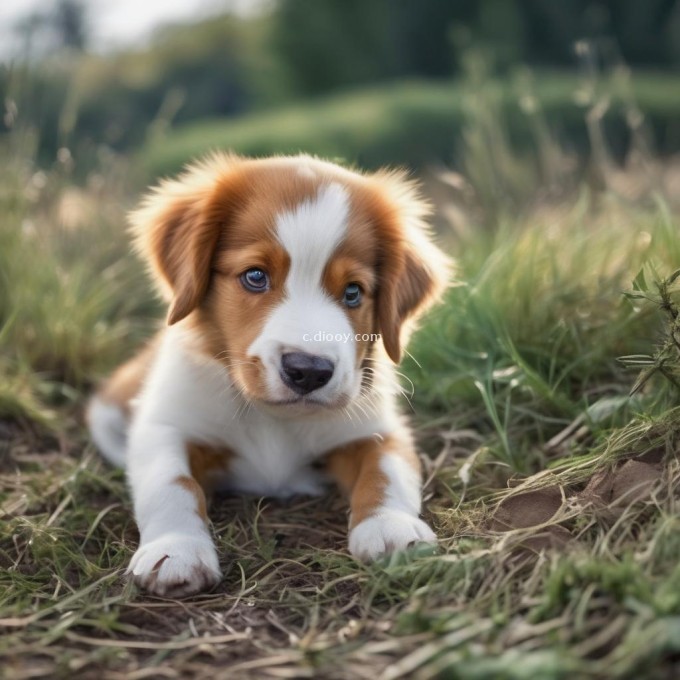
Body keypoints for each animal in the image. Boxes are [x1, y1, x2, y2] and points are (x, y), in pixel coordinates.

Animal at [86, 153, 452, 596]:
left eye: (353, 292)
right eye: (255, 276)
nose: (308, 371)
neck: (273, 418)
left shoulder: (375, 427)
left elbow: (387, 471)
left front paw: (392, 526)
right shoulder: (165, 424)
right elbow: (170, 483)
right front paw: (176, 549)